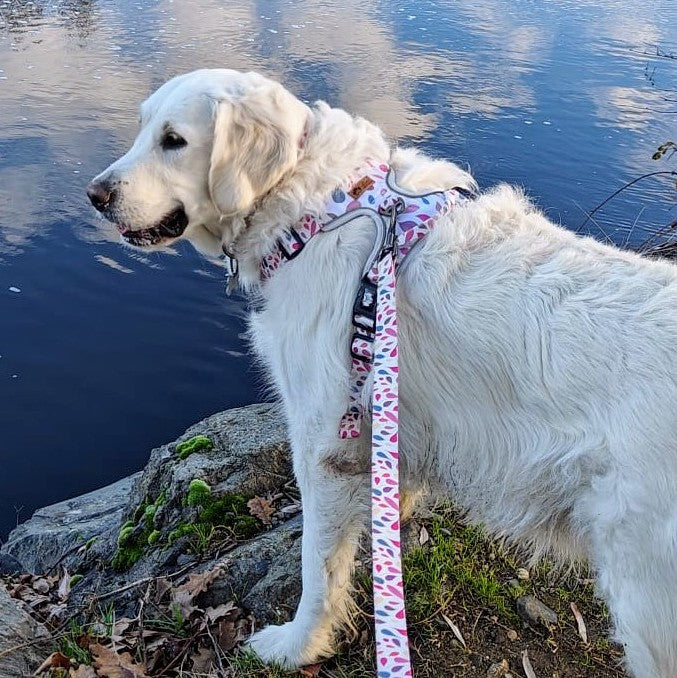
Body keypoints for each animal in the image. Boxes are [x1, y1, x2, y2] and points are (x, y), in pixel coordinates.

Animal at [88, 69, 676, 678]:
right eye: (142, 128)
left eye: (173, 140)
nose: (96, 195)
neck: (313, 212)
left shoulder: (322, 444)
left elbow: (317, 568)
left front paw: (296, 647)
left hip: (647, 597)